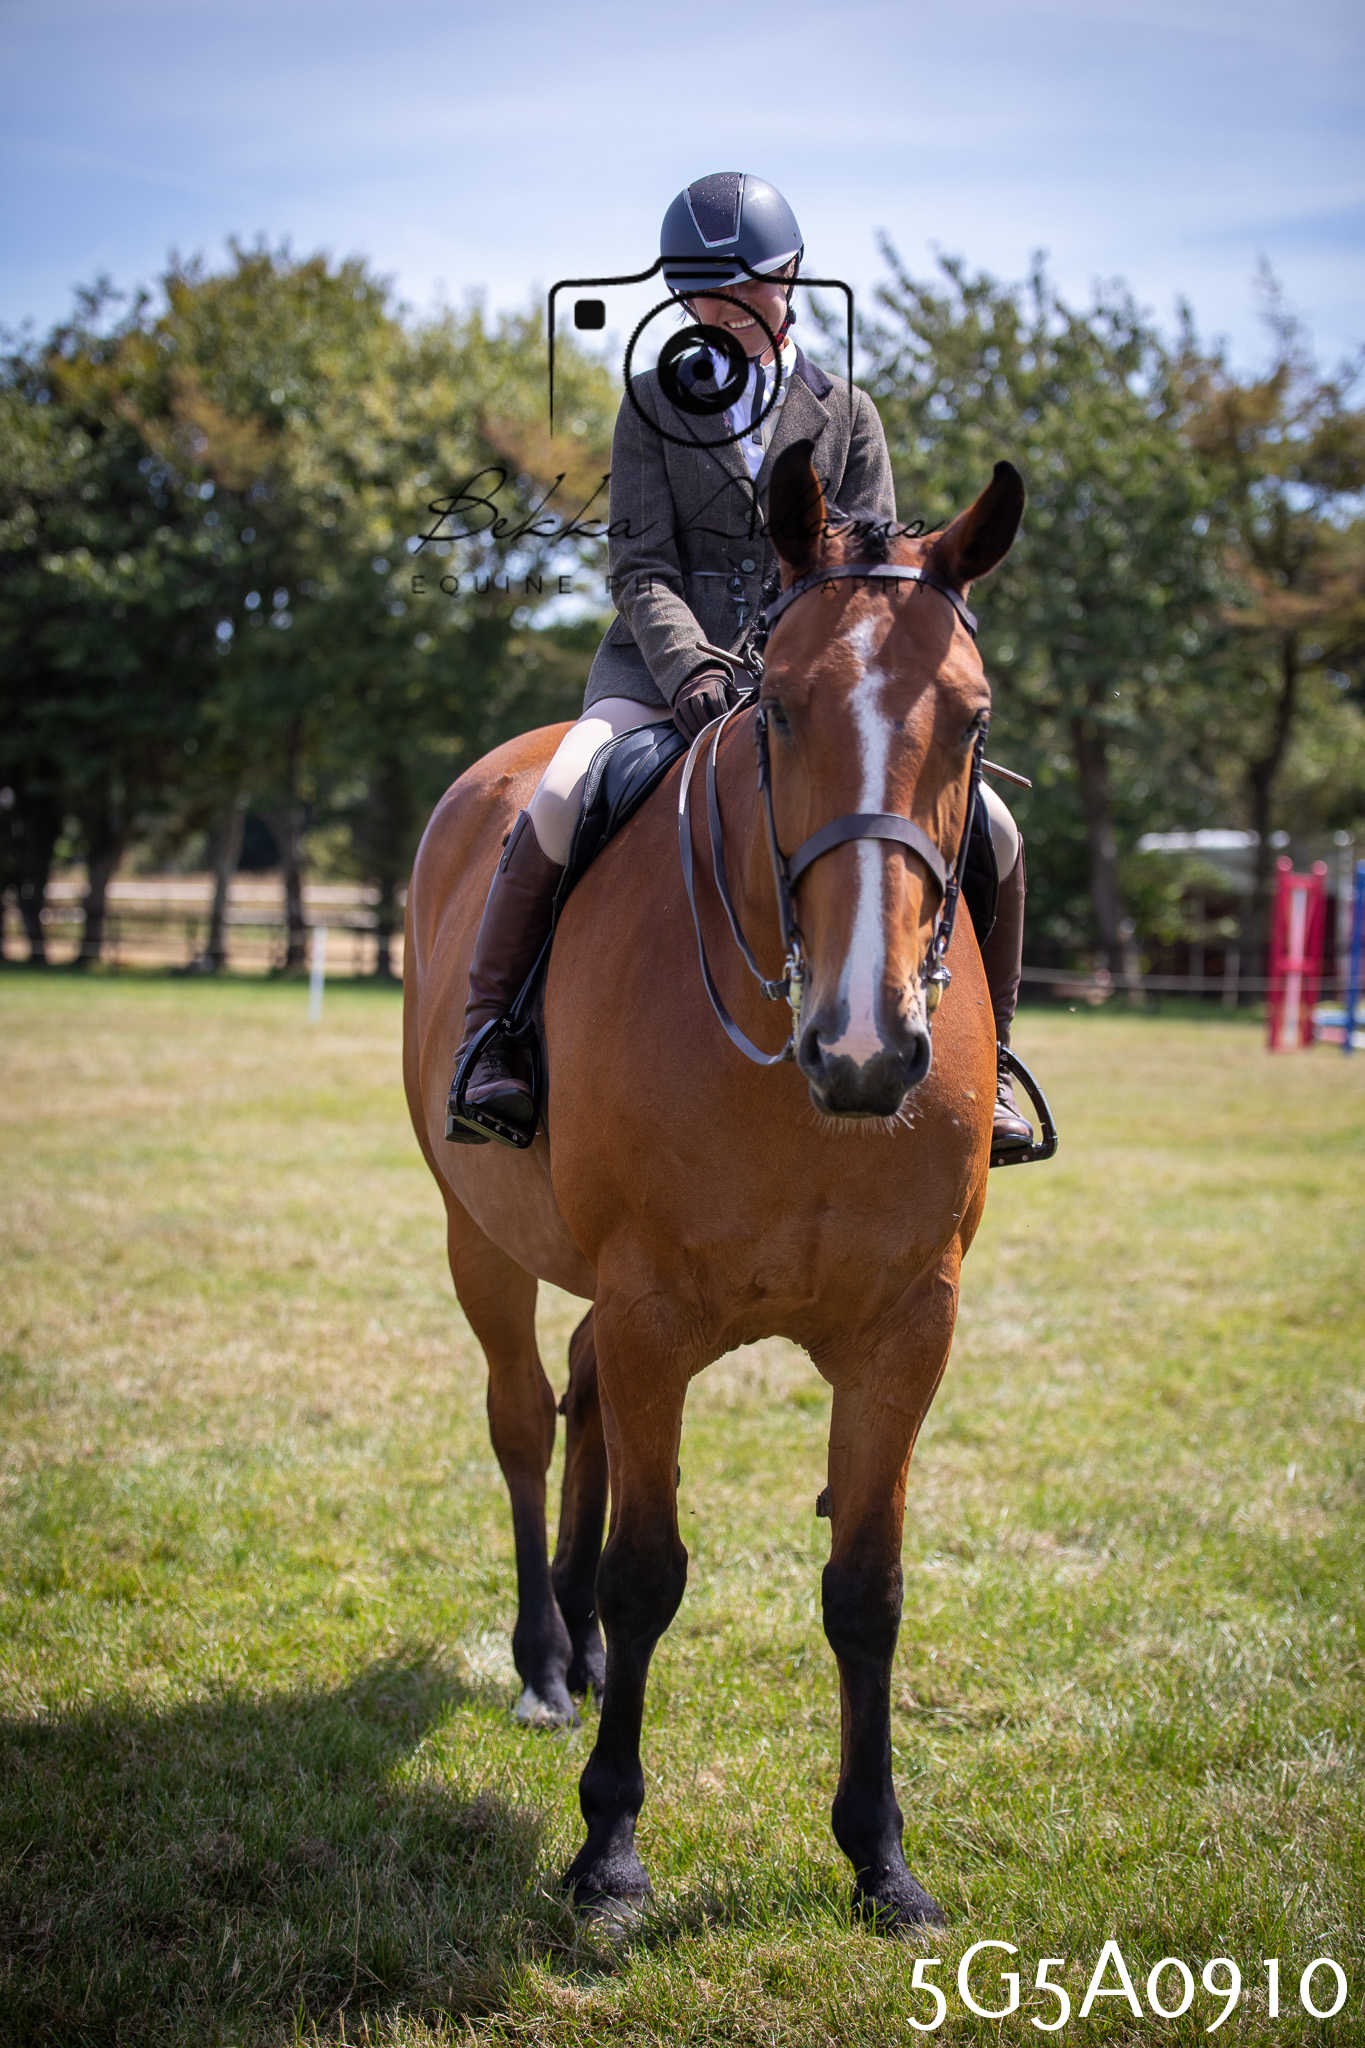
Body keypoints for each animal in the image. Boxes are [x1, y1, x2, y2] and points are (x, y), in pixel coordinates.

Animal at [402, 442, 1024, 1930]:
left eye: (971, 720)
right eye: (780, 708)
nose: (868, 1046)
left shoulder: (907, 1330)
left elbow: (868, 1589)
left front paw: (880, 1854)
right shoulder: (652, 1311)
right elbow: (650, 1574)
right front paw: (610, 1851)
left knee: (579, 1400)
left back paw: (569, 1649)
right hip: (479, 1241)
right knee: (525, 1416)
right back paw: (542, 1654)